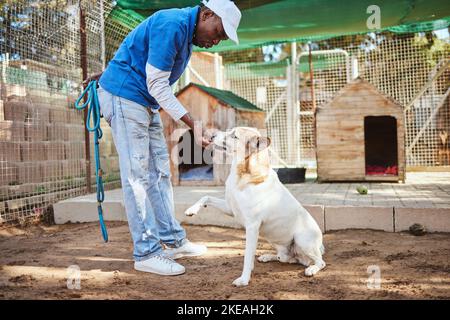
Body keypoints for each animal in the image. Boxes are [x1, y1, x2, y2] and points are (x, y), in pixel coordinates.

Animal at [185, 127, 326, 288]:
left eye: (234, 135)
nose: (211, 135)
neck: (242, 174)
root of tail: (319, 245)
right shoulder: (230, 209)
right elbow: (206, 196)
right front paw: (191, 210)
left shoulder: (252, 227)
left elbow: (247, 256)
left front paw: (244, 279)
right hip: (276, 243)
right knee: (286, 259)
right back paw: (268, 256)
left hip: (302, 240)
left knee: (320, 262)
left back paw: (312, 269)